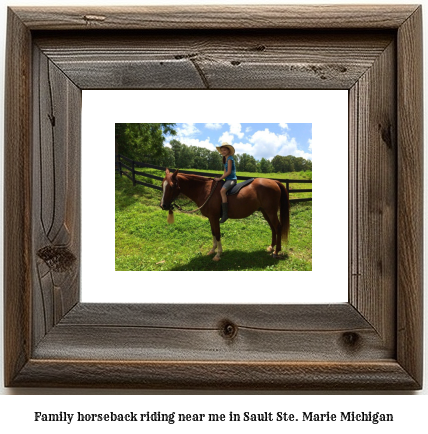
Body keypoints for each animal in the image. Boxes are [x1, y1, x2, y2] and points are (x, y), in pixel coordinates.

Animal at [160, 168, 290, 260]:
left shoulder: (214, 218)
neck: (206, 190)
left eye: (172, 186)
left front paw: (218, 254)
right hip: (265, 211)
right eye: (162, 185)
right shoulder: (211, 218)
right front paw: (212, 250)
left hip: (271, 211)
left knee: (278, 227)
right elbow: (213, 233)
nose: (163, 205)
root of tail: (275, 182)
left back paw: (276, 251)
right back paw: (271, 247)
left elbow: (217, 234)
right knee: (273, 228)